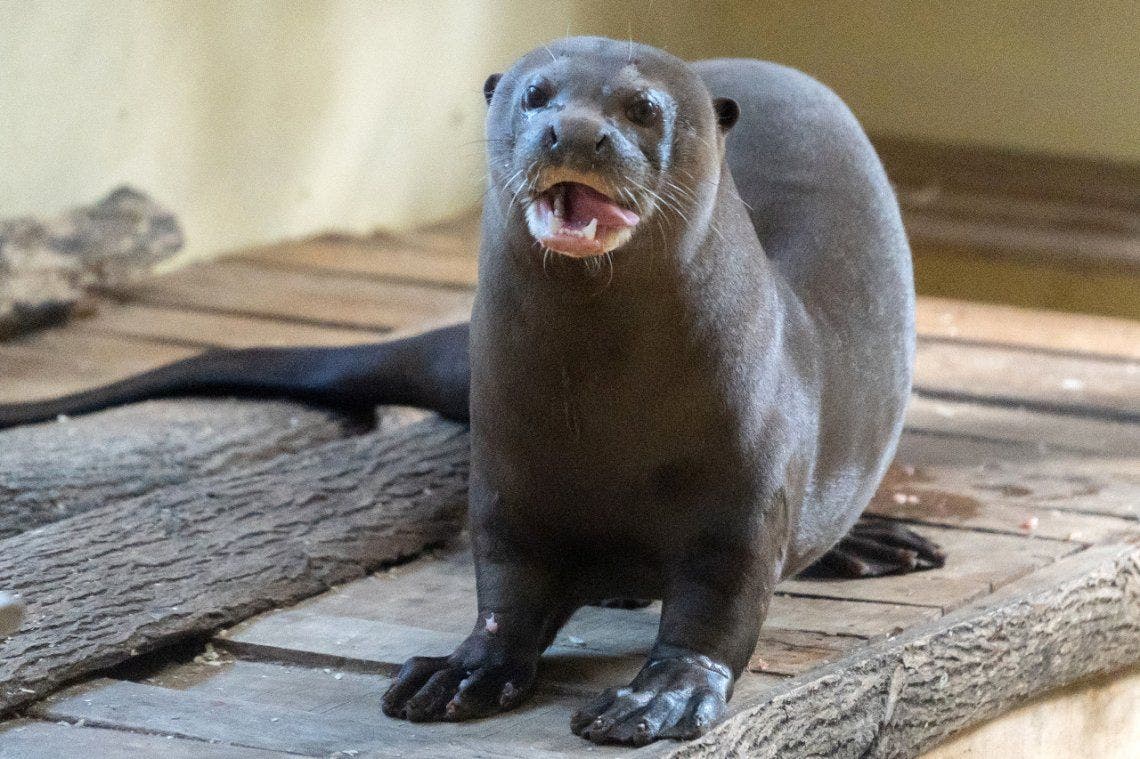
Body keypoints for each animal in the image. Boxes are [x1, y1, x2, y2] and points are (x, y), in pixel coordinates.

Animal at [0, 38, 939, 743]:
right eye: (534, 94)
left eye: (641, 108)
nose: (574, 132)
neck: (611, 423)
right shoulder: (508, 474)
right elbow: (507, 587)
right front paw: (463, 671)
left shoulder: (744, 493)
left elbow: (718, 612)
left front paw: (658, 694)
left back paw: (870, 543)